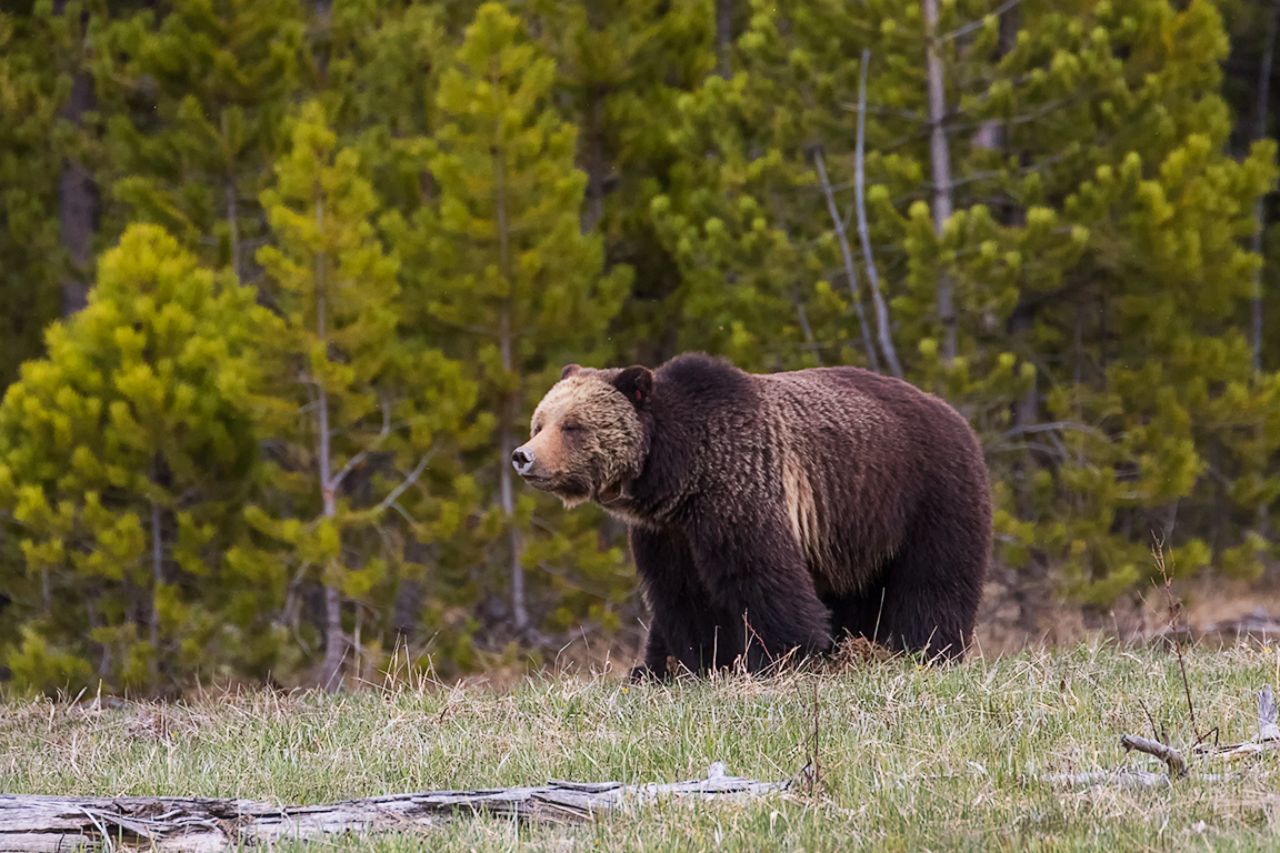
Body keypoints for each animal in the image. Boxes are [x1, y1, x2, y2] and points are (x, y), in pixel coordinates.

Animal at [511, 353, 991, 678]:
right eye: (540, 422)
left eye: (572, 426)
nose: (523, 456)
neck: (680, 474)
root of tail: (950, 412)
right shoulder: (667, 534)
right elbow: (683, 597)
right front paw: (683, 664)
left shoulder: (737, 491)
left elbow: (760, 577)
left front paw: (782, 656)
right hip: (849, 531)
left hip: (923, 494)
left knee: (934, 580)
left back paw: (927, 649)